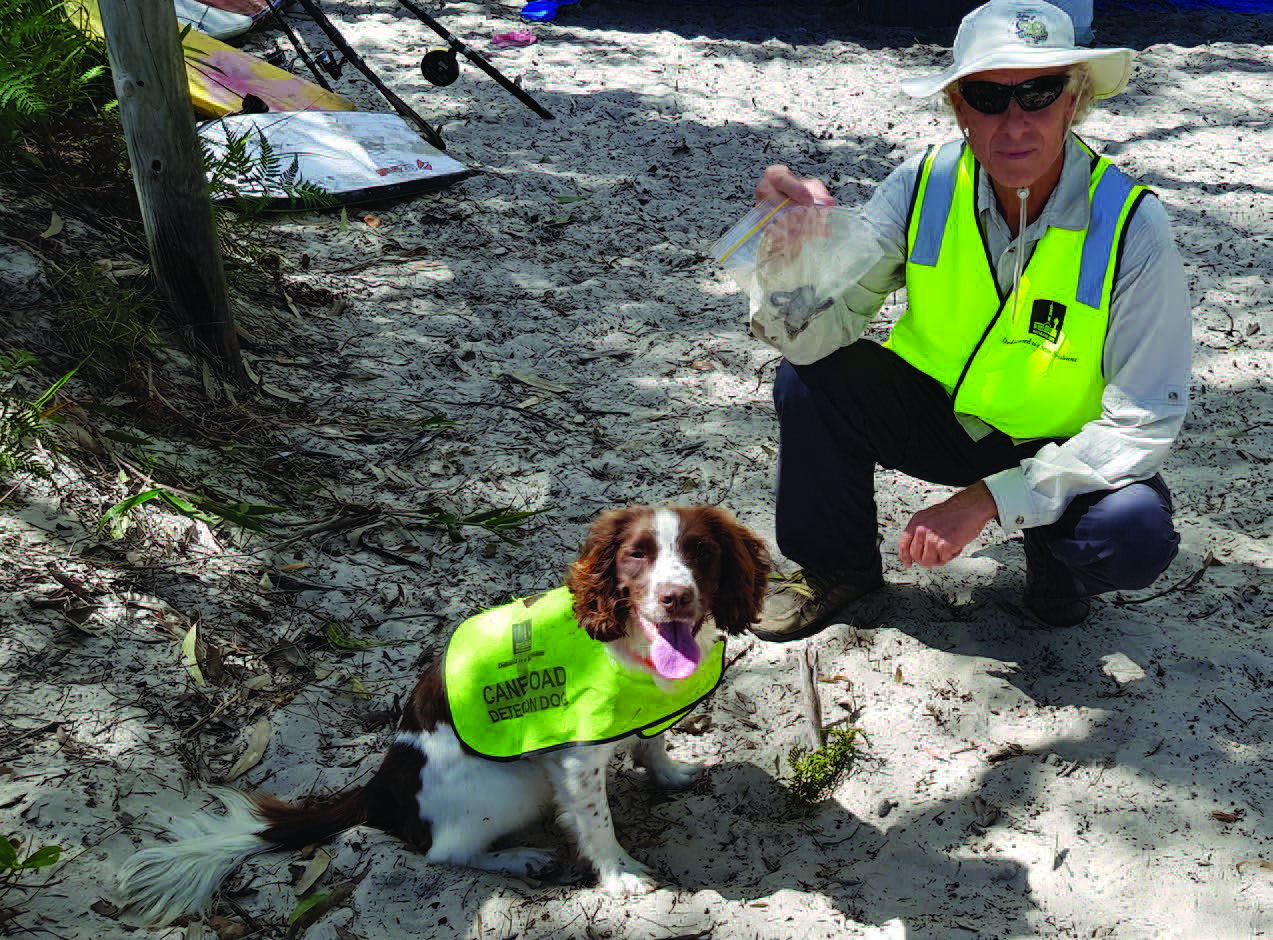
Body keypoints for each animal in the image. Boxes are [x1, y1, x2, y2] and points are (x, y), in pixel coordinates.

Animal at [121, 504, 763, 922]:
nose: (675, 597)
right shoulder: (576, 762)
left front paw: (669, 772)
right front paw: (618, 873)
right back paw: (518, 857)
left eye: (701, 553)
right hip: (514, 785)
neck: (627, 644)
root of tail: (378, 789)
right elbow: (597, 821)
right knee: (443, 851)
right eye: (636, 556)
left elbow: (653, 741)